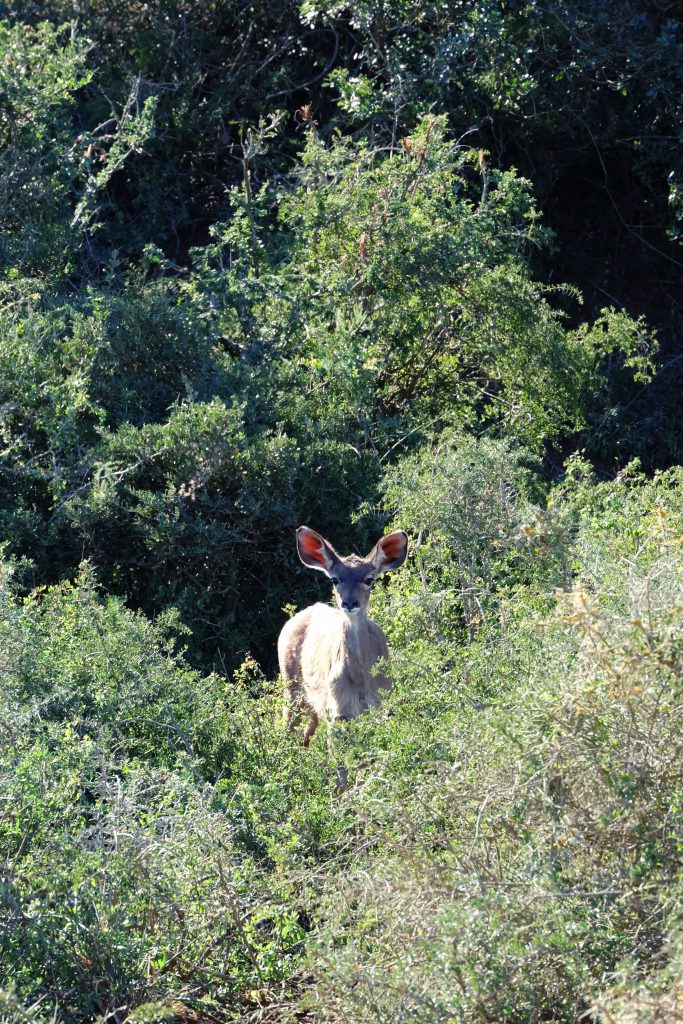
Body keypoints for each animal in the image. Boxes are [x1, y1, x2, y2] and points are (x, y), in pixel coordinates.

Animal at [276, 528, 405, 745]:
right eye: (335, 579)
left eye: (369, 579)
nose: (350, 603)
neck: (360, 677)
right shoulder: (337, 709)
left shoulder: (382, 702)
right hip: (292, 689)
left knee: (306, 735)